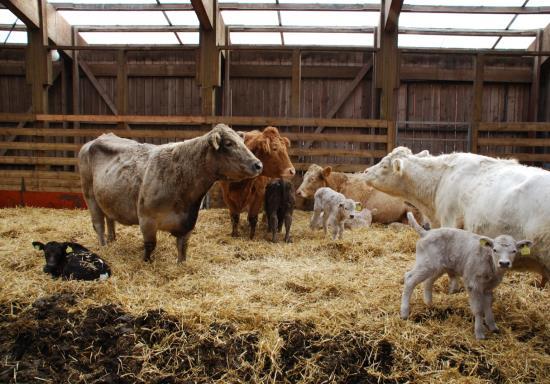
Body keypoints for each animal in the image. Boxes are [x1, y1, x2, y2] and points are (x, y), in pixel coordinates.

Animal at [78, 124, 266, 262]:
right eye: (228, 144)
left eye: (243, 142)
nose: (258, 165)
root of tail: (98, 138)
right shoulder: (146, 219)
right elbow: (150, 245)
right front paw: (146, 262)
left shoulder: (188, 222)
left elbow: (183, 248)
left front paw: (181, 263)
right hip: (90, 196)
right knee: (99, 225)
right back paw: (104, 247)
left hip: (107, 197)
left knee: (110, 219)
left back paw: (112, 240)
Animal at [404, 212, 532, 340]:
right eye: (495, 250)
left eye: (514, 251)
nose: (504, 263)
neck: (489, 262)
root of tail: (427, 233)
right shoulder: (473, 284)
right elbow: (478, 309)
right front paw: (479, 333)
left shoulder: (488, 287)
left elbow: (488, 305)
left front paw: (493, 326)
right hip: (425, 264)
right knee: (409, 279)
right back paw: (404, 313)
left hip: (437, 267)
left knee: (428, 281)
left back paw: (429, 304)